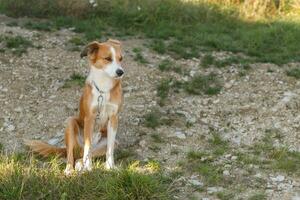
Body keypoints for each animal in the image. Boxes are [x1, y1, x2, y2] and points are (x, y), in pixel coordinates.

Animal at [25, 39, 124, 175]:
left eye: (121, 59)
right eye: (108, 58)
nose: (121, 72)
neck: (103, 90)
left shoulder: (114, 118)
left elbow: (110, 149)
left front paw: (110, 166)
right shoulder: (90, 118)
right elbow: (88, 145)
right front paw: (88, 168)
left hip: (108, 142)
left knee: (81, 156)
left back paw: (80, 164)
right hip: (70, 123)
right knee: (72, 155)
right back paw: (70, 169)